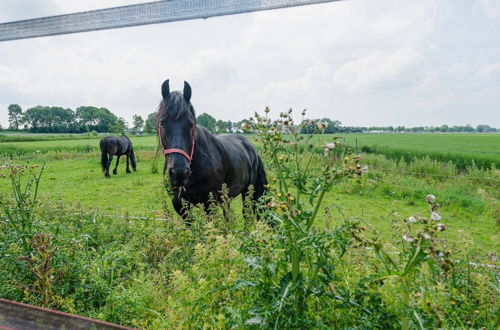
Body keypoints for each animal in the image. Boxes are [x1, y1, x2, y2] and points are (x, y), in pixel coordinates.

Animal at [156, 79, 268, 219]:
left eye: (191, 124)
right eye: (162, 123)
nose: (179, 172)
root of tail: (249, 146)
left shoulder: (209, 203)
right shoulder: (179, 204)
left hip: (247, 191)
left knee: (246, 214)